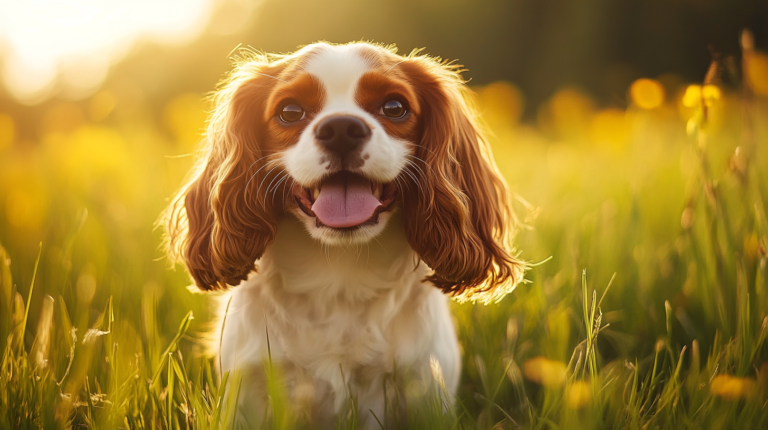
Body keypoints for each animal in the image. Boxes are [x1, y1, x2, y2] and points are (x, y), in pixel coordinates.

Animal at [165, 41, 524, 426]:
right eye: (289, 111)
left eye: (394, 107)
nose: (341, 128)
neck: (339, 277)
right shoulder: (248, 388)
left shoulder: (424, 388)